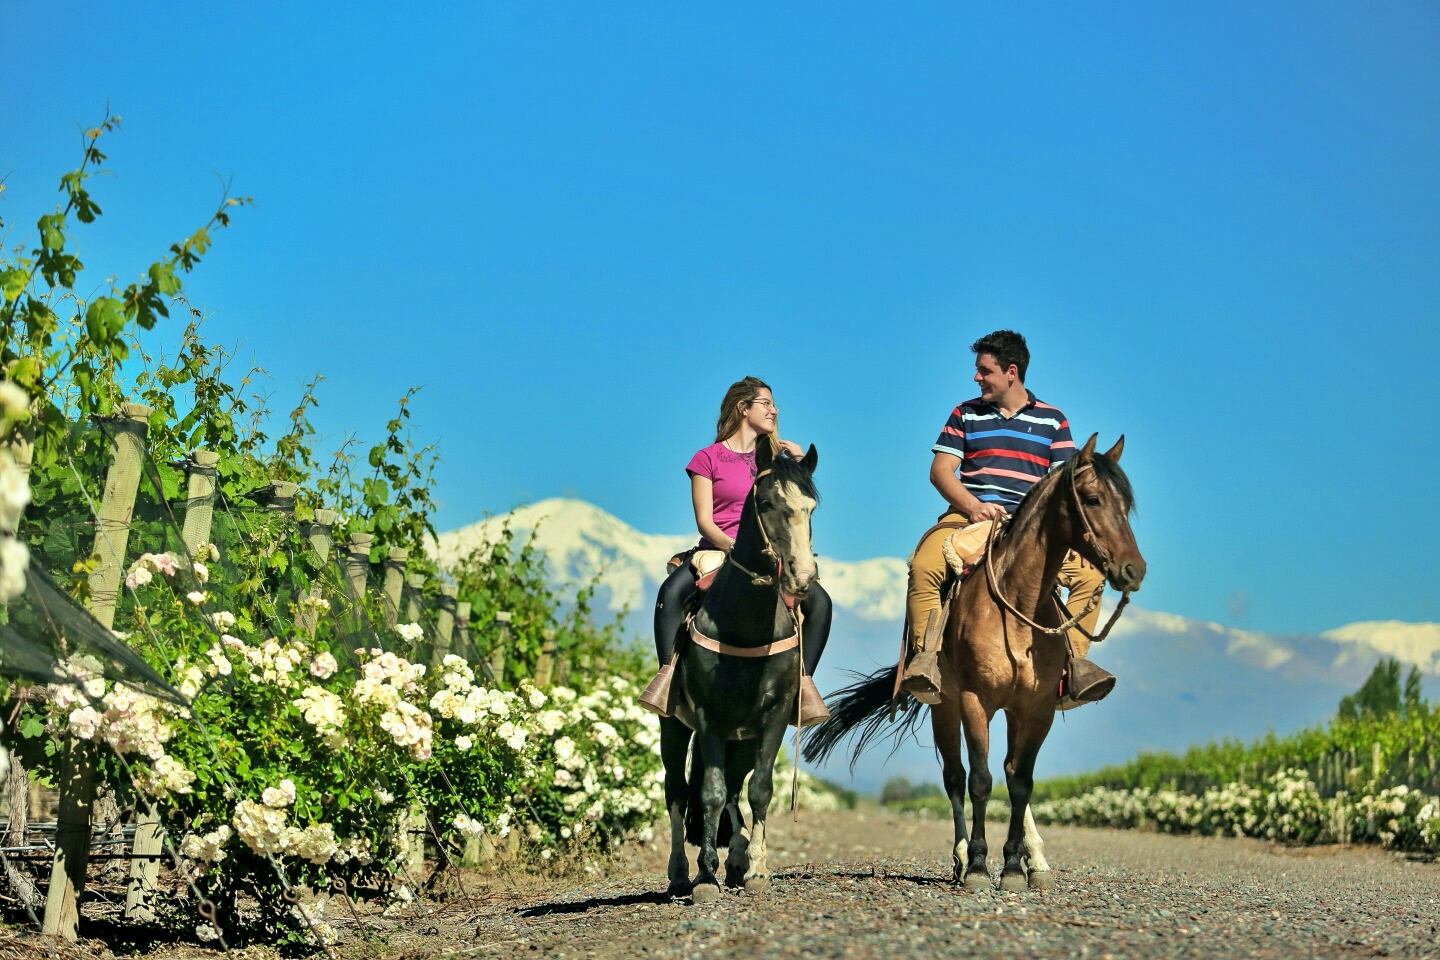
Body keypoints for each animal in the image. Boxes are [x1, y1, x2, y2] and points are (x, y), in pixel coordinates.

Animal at [659, 440, 817, 903]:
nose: (803, 577)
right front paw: (705, 877)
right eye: (766, 503)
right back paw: (681, 873)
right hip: (674, 726)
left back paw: (737, 857)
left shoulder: (775, 717)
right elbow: (708, 794)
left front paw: (757, 870)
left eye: (811, 507)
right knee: (677, 791)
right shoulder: (709, 717)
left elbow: (758, 789)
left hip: (741, 737)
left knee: (733, 785)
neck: (745, 624)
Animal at [806, 434, 1140, 892]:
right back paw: (963, 857)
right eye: (1092, 499)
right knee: (955, 777)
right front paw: (981, 867)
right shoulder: (973, 700)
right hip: (943, 707)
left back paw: (1036, 860)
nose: (1134, 569)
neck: (1018, 605)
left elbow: (1020, 782)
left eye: (1126, 504)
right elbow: (980, 780)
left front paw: (1015, 867)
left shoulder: (1035, 709)